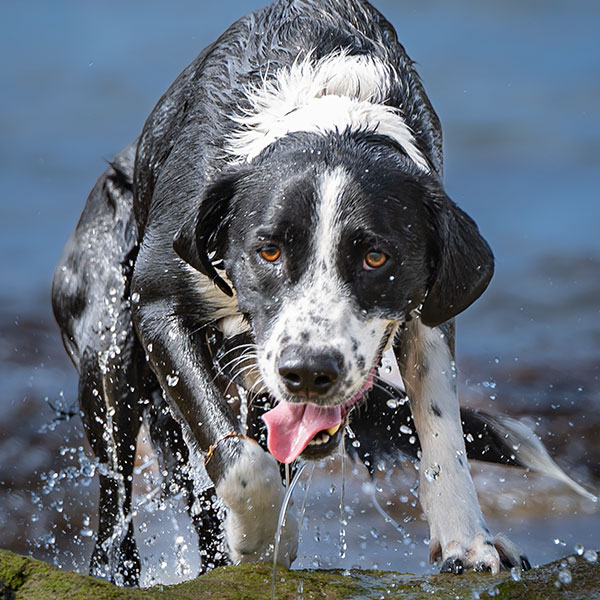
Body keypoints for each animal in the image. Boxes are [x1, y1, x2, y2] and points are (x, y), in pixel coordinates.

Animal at [50, 0, 592, 584]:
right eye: (268, 251)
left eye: (376, 257)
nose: (310, 372)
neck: (332, 108)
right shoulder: (155, 303)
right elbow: (240, 461)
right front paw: (267, 537)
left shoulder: (427, 310)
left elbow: (441, 428)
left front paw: (467, 544)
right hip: (111, 352)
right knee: (116, 504)